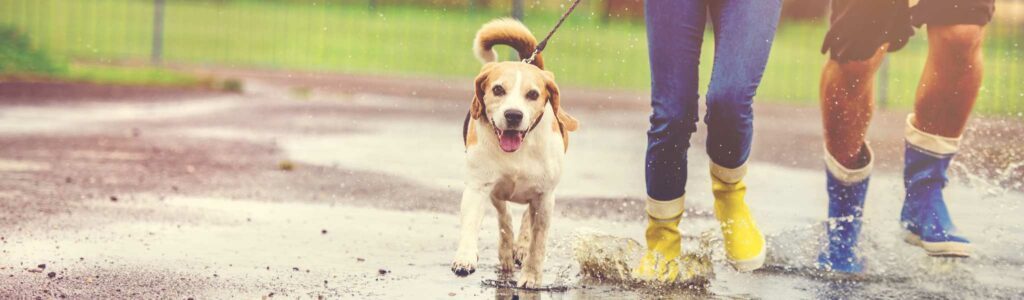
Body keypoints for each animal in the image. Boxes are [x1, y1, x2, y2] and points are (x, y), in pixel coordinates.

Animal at [452, 18, 581, 286]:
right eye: (498, 90)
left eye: (532, 94)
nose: (513, 115)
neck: (519, 150)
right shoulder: (479, 187)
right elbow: (474, 224)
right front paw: (465, 258)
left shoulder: (544, 197)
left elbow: (538, 244)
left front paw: (531, 276)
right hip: (496, 193)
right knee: (505, 217)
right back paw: (506, 252)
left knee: (526, 221)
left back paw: (520, 248)